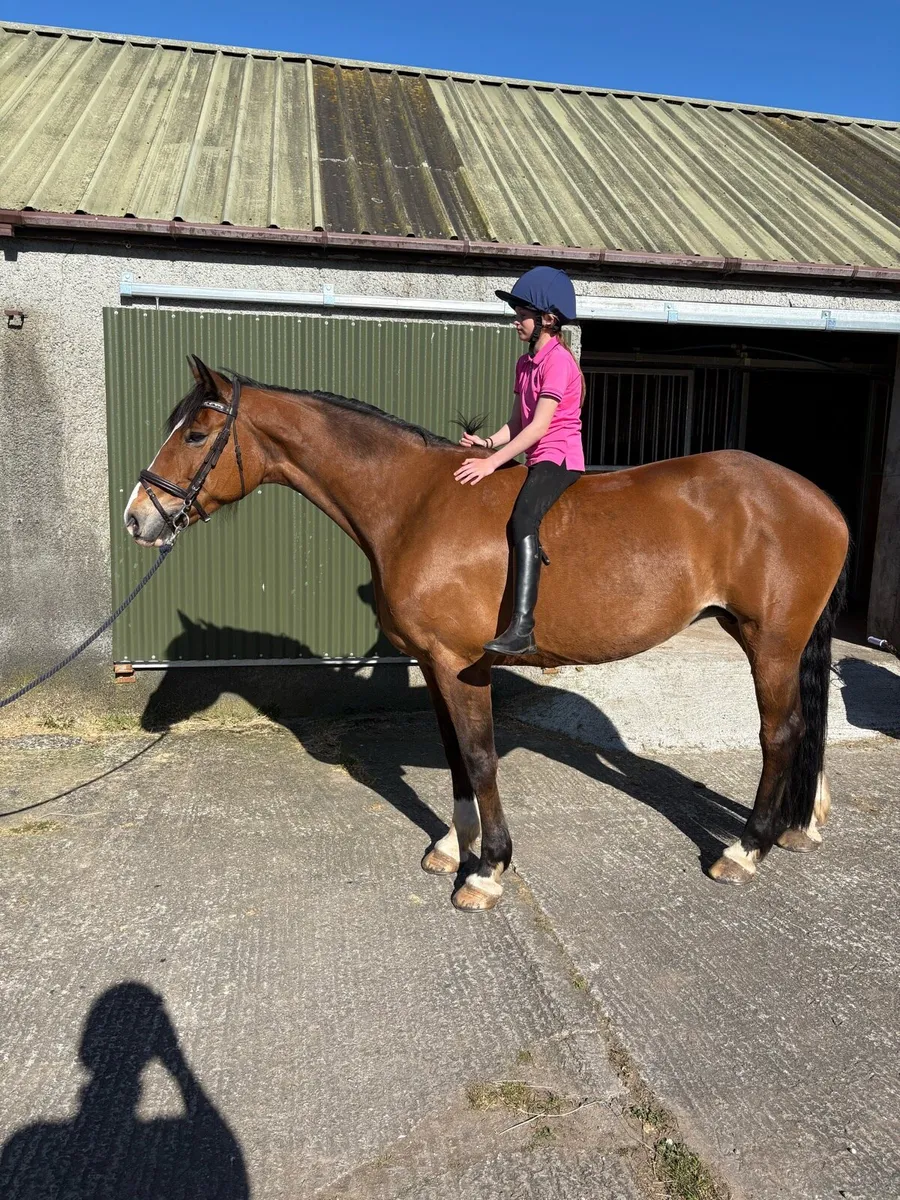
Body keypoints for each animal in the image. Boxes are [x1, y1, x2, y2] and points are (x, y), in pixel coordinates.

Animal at [125, 357, 849, 912]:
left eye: (196, 434)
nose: (138, 518)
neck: (415, 503)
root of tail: (822, 501)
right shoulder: (435, 665)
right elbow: (453, 755)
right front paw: (454, 846)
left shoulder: (460, 663)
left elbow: (479, 757)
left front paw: (489, 869)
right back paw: (797, 826)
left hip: (771, 643)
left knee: (780, 734)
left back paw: (744, 850)